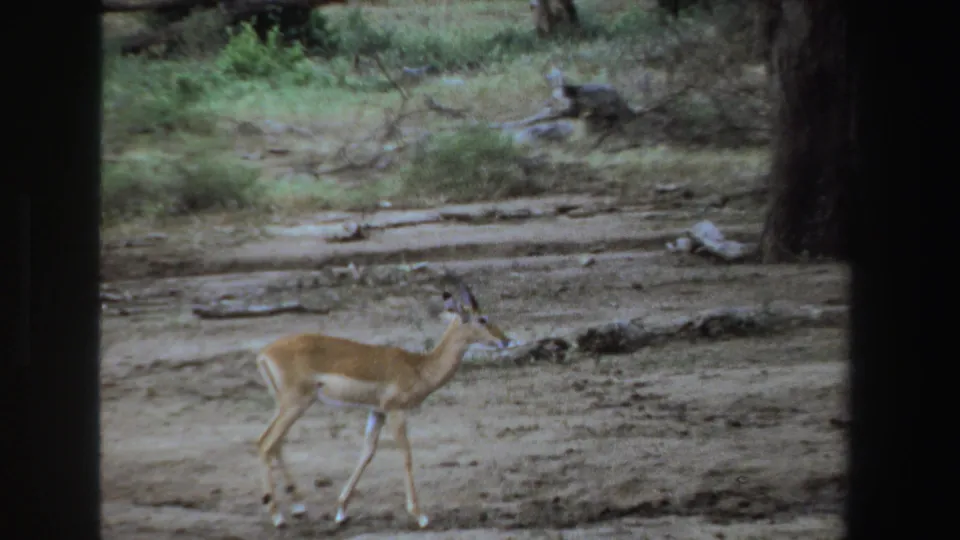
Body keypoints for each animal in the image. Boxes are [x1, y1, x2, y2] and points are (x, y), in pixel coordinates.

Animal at [254, 280, 512, 529]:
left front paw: (341, 511)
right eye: (482, 319)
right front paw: (420, 516)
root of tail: (264, 353)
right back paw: (278, 517)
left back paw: (297, 507)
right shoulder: (397, 412)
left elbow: (367, 453)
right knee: (267, 443)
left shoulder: (377, 412)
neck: (419, 367)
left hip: (287, 405)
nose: (506, 340)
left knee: (273, 443)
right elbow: (406, 455)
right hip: (295, 404)